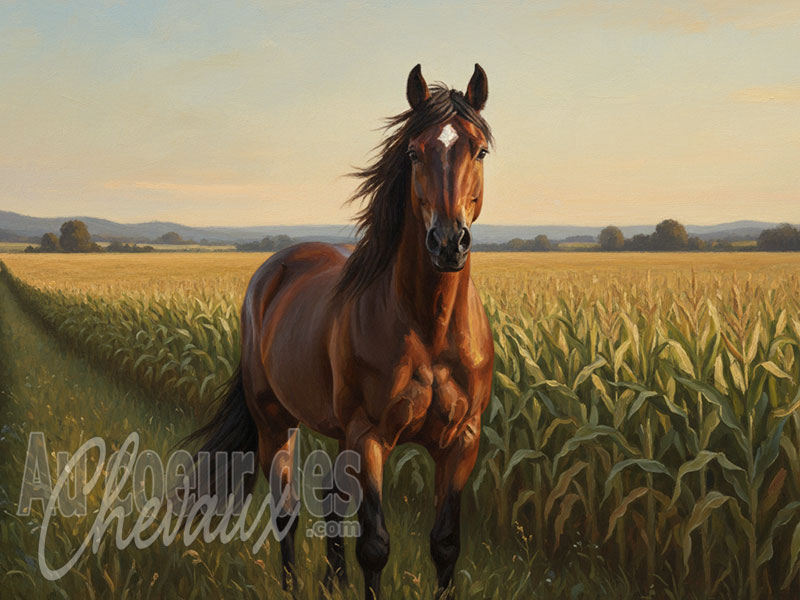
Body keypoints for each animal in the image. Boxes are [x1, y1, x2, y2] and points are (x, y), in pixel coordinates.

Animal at [189, 63, 494, 600]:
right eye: (413, 152)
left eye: (479, 150)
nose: (447, 243)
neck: (429, 329)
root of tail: (273, 271)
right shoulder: (369, 436)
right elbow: (373, 544)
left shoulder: (462, 442)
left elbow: (445, 544)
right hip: (276, 422)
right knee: (287, 510)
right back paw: (292, 585)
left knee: (331, 499)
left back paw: (332, 581)